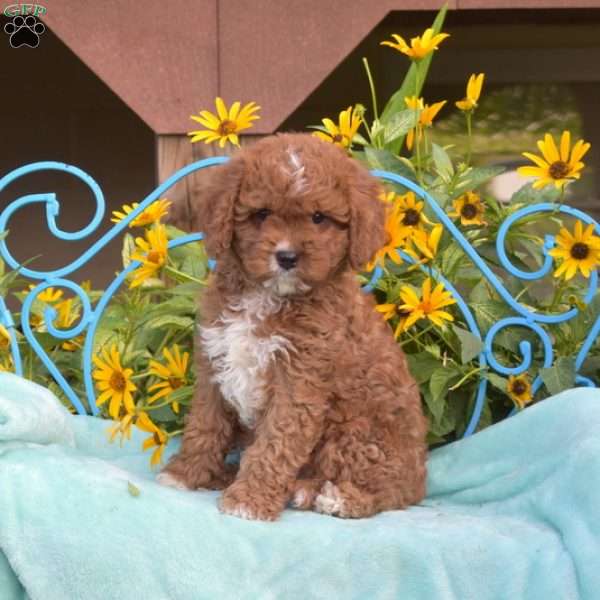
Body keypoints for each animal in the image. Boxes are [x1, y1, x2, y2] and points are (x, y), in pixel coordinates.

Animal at [155, 132, 426, 520]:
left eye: (319, 218)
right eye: (262, 214)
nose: (287, 257)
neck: (267, 296)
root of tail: (421, 479)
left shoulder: (298, 383)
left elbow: (275, 444)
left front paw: (248, 499)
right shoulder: (215, 364)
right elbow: (204, 425)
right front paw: (186, 473)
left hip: (361, 435)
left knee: (387, 492)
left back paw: (333, 496)